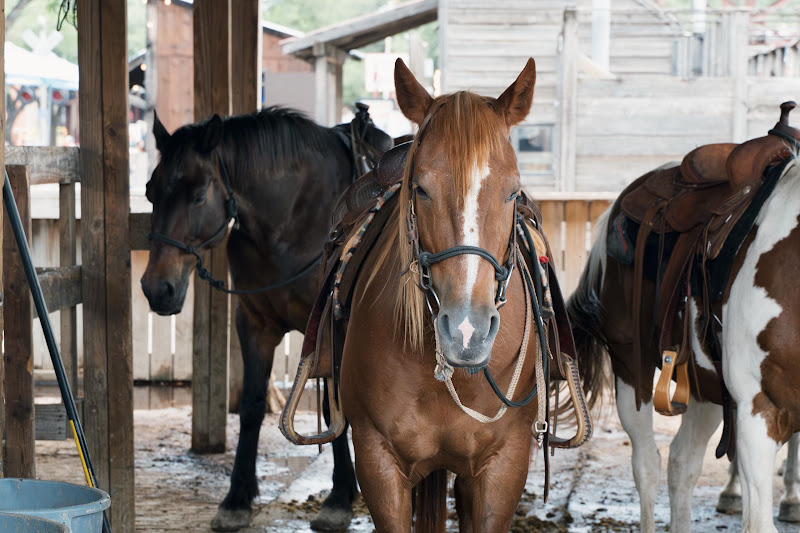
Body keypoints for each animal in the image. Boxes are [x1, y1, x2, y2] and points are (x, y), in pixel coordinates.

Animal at [140, 106, 392, 532]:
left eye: (198, 195)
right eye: (149, 192)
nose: (157, 288)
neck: (290, 222)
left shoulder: (328, 333)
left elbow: (334, 407)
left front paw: (339, 497)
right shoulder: (254, 327)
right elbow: (252, 406)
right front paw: (237, 498)